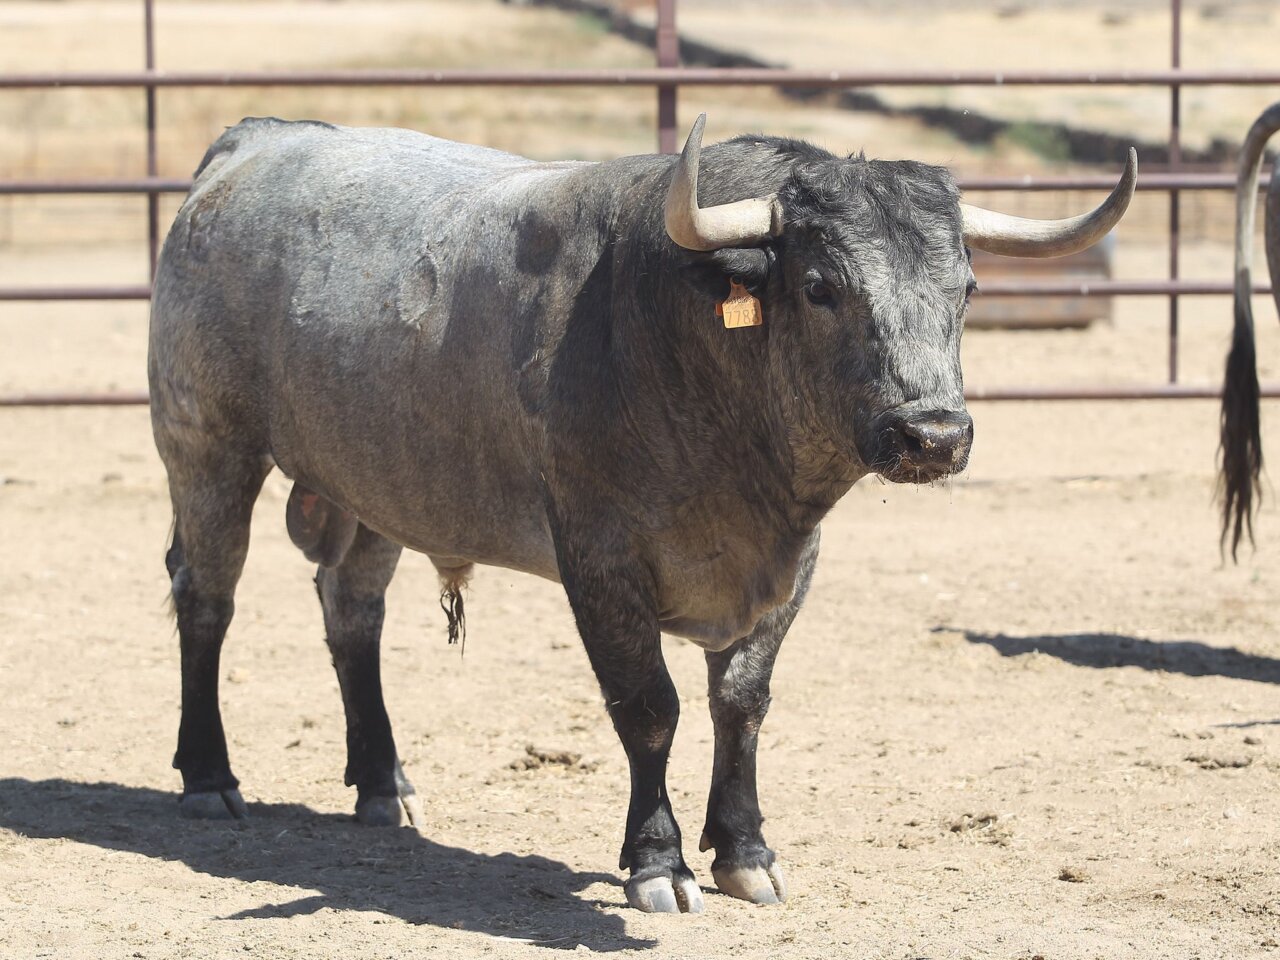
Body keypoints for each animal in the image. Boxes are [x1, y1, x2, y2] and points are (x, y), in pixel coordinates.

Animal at [149, 114, 1136, 913]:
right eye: (822, 285)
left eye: (966, 288)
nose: (934, 434)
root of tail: (255, 138)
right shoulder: (599, 562)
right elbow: (649, 706)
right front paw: (658, 863)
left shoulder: (792, 566)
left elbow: (742, 702)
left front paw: (744, 852)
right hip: (208, 448)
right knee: (207, 600)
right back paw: (209, 775)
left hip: (380, 488)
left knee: (352, 611)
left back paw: (383, 783)